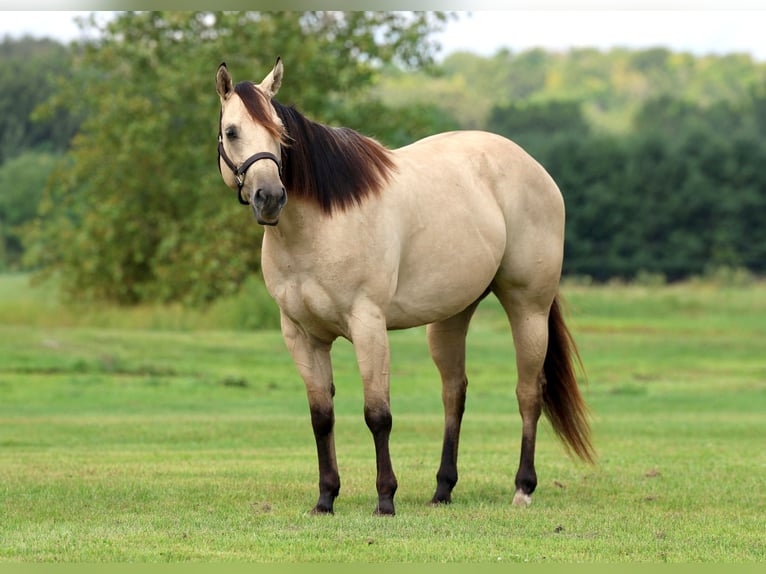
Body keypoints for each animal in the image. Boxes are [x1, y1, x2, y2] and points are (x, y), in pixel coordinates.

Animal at [215, 58, 595, 516]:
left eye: (281, 133)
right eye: (232, 131)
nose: (269, 197)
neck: (319, 225)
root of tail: (535, 169)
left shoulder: (368, 325)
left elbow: (377, 414)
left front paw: (385, 498)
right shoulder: (301, 335)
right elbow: (321, 415)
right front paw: (326, 498)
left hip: (528, 308)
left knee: (528, 393)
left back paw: (523, 487)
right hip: (452, 315)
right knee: (454, 394)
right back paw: (443, 489)